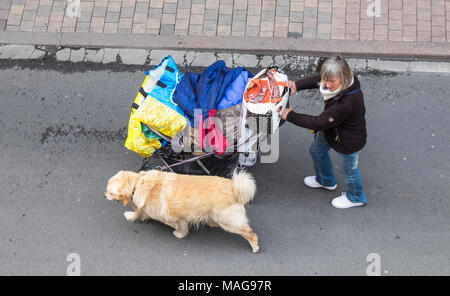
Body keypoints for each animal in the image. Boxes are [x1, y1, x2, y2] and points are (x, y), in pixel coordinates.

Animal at [105, 169, 258, 252]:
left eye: (110, 192)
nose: (104, 195)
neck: (138, 183)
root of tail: (234, 187)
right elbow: (139, 212)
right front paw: (132, 216)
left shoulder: (171, 217)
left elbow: (179, 226)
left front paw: (180, 234)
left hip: (229, 222)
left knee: (250, 233)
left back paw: (255, 246)